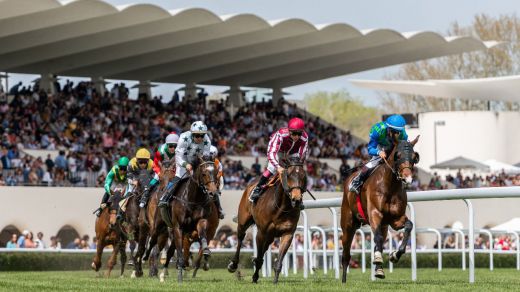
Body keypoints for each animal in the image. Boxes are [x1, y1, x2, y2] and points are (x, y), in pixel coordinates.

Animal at [342, 136, 418, 282]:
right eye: (398, 155)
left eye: (414, 157)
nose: (408, 178)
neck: (389, 186)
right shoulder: (374, 213)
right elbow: (376, 237)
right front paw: (377, 259)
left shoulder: (395, 219)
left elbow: (409, 226)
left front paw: (395, 255)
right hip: (348, 224)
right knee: (346, 253)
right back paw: (343, 280)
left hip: (383, 226)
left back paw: (379, 270)